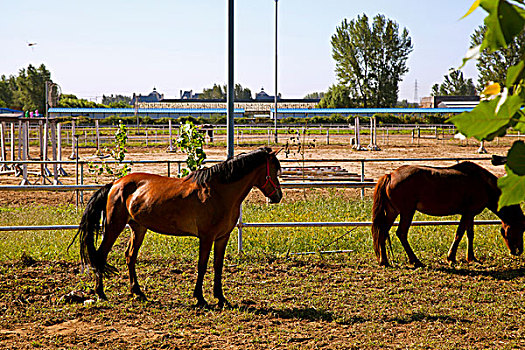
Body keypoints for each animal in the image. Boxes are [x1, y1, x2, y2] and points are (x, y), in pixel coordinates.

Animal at [72, 146, 282, 308]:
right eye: (274, 170)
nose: (278, 196)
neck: (218, 192)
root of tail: (115, 183)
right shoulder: (206, 237)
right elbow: (202, 265)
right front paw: (200, 298)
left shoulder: (223, 237)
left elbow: (218, 266)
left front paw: (221, 298)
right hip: (113, 227)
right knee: (101, 255)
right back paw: (101, 293)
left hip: (138, 228)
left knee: (130, 257)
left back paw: (138, 293)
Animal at [370, 163, 524, 266]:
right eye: (520, 229)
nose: (518, 251)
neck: (483, 183)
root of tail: (390, 175)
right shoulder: (467, 213)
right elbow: (459, 233)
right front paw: (451, 257)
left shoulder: (470, 214)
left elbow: (469, 234)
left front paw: (471, 258)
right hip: (407, 212)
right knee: (401, 233)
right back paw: (415, 261)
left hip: (393, 212)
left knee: (382, 232)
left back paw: (384, 261)